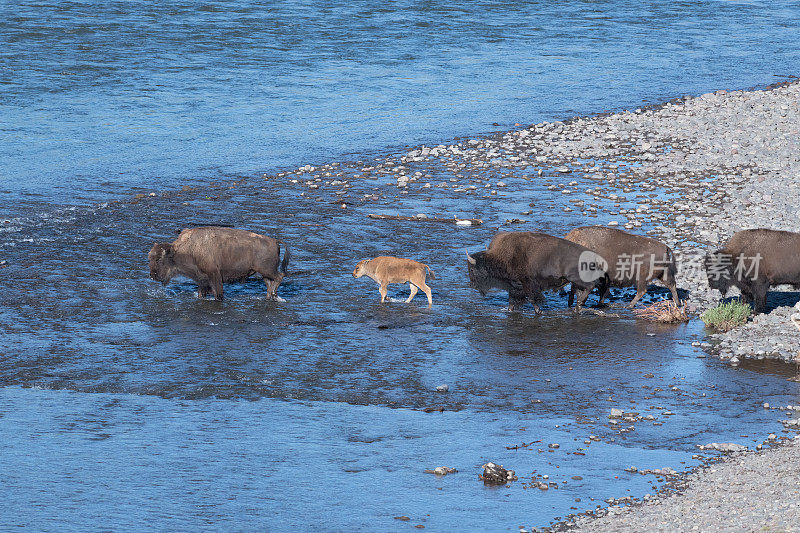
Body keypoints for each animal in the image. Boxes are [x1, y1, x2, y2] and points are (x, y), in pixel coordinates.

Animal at [148, 224, 290, 300]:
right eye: (149, 258)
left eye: (159, 259)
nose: (152, 275)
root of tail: (274, 241)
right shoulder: (202, 279)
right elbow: (202, 292)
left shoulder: (214, 275)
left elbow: (218, 293)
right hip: (263, 272)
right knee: (269, 283)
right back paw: (270, 297)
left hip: (267, 270)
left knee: (279, 276)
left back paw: (273, 295)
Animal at [466, 231, 608, 314]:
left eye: (472, 269)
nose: (472, 285)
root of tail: (594, 256)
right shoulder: (514, 286)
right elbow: (512, 301)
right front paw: (510, 310)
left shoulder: (527, 284)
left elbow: (532, 298)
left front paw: (539, 311)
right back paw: (578, 307)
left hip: (577, 278)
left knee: (591, 286)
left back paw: (578, 306)